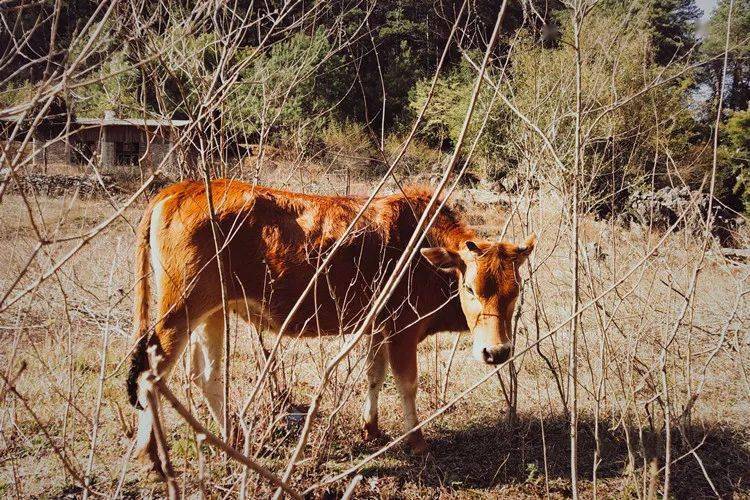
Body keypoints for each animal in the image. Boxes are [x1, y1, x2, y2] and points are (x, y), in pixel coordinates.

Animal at [128, 181, 536, 460]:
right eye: (469, 288)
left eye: (515, 290)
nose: (496, 352)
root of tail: (180, 188)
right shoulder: (402, 330)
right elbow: (407, 384)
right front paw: (417, 441)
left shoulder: (377, 328)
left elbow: (374, 376)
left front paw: (371, 428)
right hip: (180, 310)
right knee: (151, 371)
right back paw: (152, 451)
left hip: (212, 311)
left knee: (207, 375)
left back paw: (233, 439)